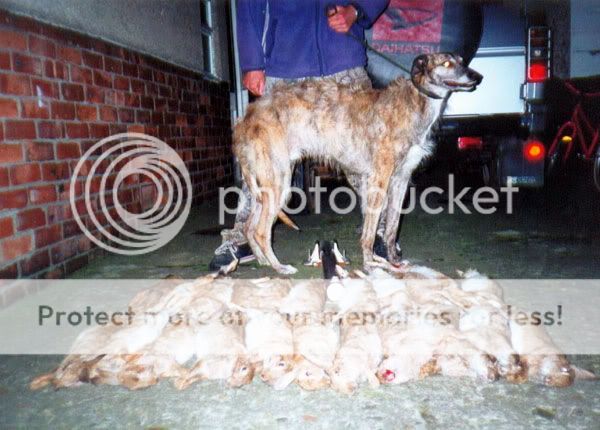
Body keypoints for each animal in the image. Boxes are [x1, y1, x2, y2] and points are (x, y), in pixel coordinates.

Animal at [234, 52, 482, 274]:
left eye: (462, 61)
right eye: (446, 63)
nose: (477, 77)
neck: (415, 102)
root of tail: (246, 118)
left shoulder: (401, 180)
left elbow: (391, 228)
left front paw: (393, 261)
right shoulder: (378, 181)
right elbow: (369, 233)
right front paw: (370, 264)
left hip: (266, 185)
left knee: (249, 226)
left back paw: (263, 261)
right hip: (279, 183)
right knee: (261, 231)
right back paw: (279, 267)